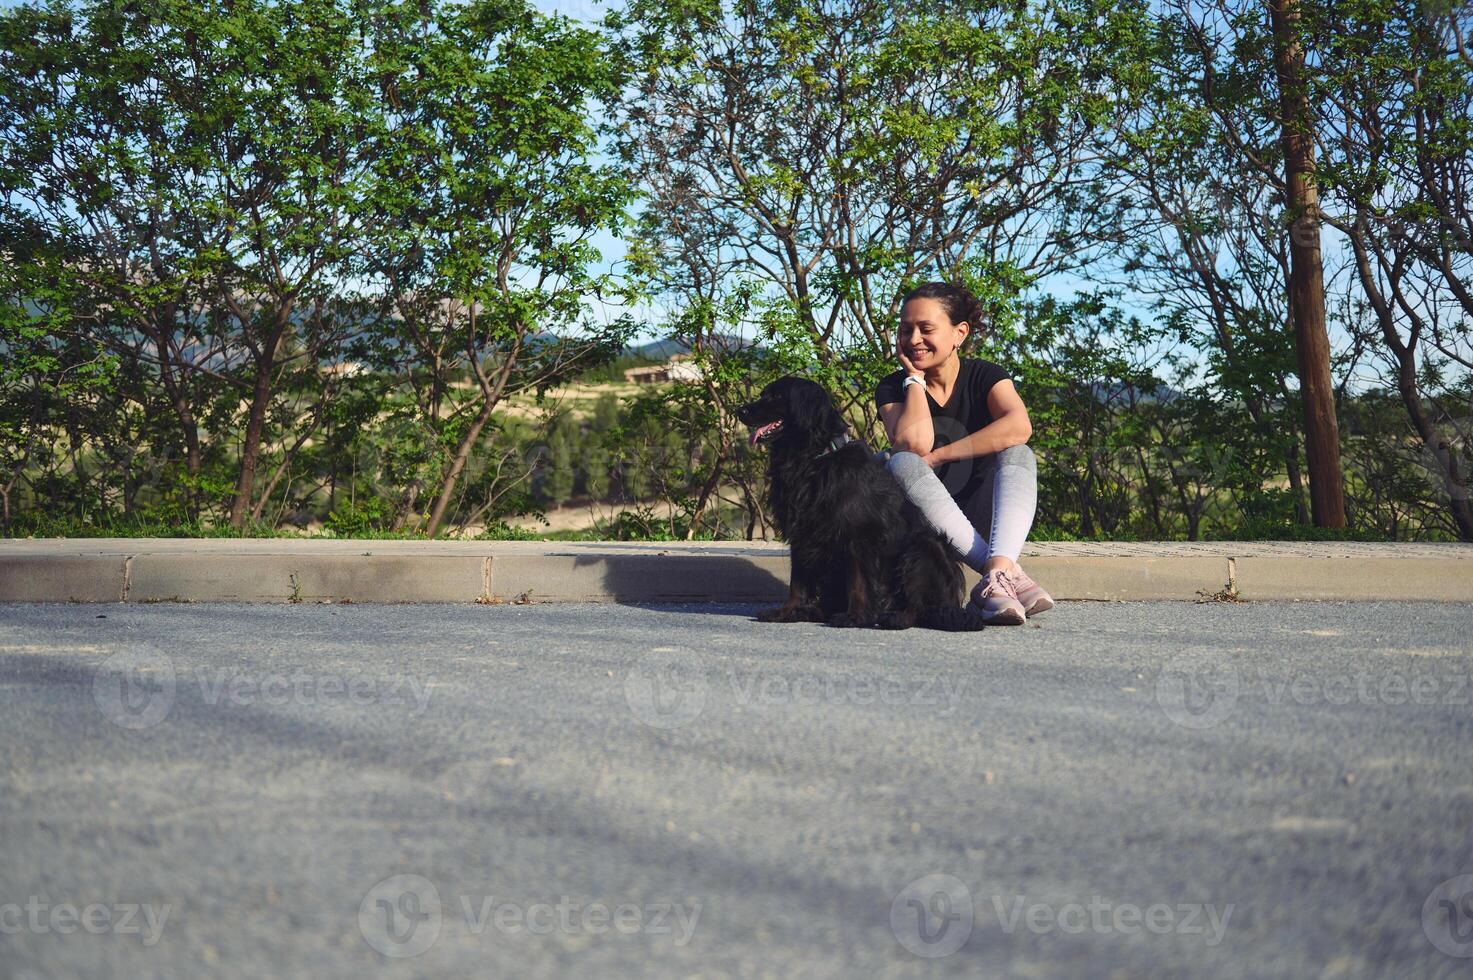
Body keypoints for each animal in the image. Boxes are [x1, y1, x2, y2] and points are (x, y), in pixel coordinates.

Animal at [742, 374, 983, 633]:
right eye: (764, 393)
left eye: (776, 396)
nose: (740, 410)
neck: (814, 458)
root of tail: (952, 604)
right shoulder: (801, 532)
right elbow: (797, 582)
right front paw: (787, 611)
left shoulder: (859, 535)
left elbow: (857, 582)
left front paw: (855, 617)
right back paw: (814, 610)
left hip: (924, 548)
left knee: (919, 605)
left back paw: (896, 618)